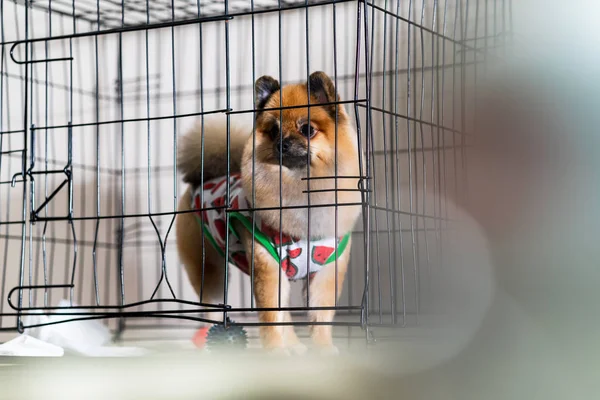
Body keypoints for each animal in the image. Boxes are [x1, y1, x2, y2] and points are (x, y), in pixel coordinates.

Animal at [173, 72, 360, 354]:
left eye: (307, 129)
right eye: (273, 131)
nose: (283, 143)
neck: (300, 189)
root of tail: (204, 177)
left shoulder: (327, 270)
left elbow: (319, 315)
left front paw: (322, 348)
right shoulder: (268, 265)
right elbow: (272, 315)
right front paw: (275, 351)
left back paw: (294, 346)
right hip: (208, 268)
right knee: (212, 304)